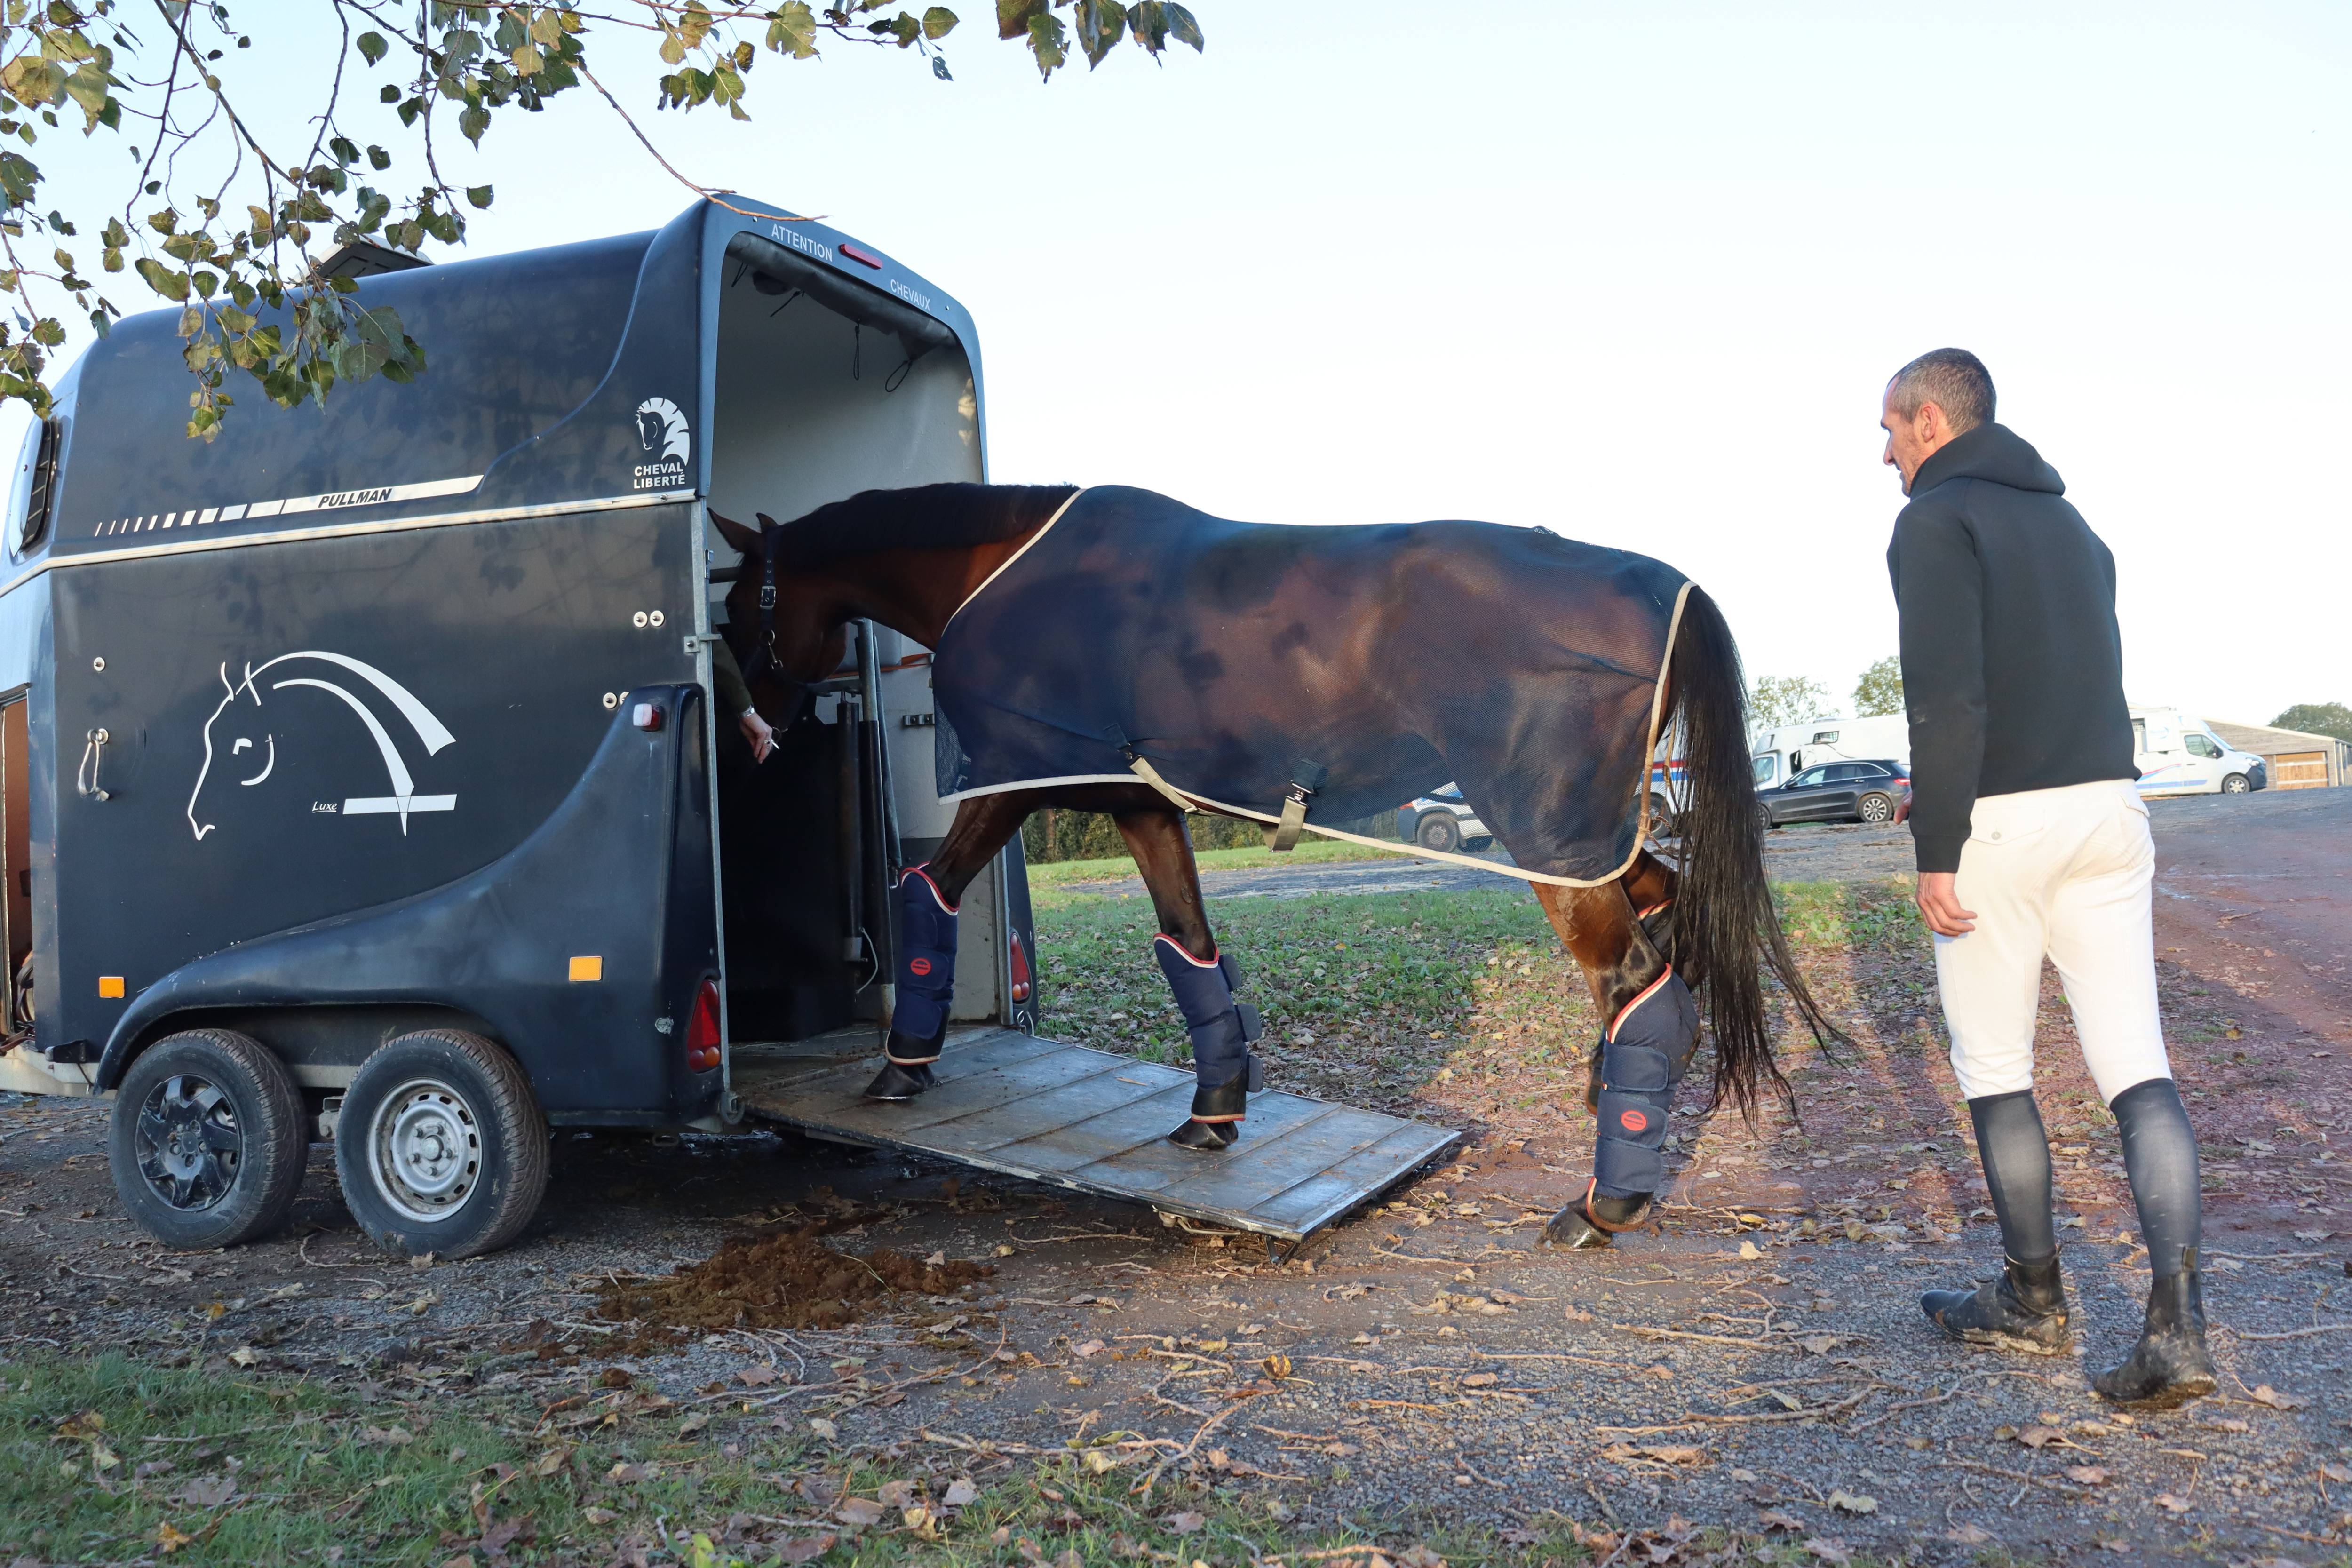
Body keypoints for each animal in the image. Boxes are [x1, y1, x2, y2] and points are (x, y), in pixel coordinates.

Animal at [706, 484, 1825, 1241]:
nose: (750, 725)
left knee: (1632, 975)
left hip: (1555, 839)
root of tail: (1665, 584)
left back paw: (1605, 1202)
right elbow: (1191, 949)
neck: (1012, 572)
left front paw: (901, 1066)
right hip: (1593, 842)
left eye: (738, 602)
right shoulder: (1143, 811)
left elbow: (927, 894)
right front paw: (1213, 1114)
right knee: (1675, 924)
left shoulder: (1013, 785)